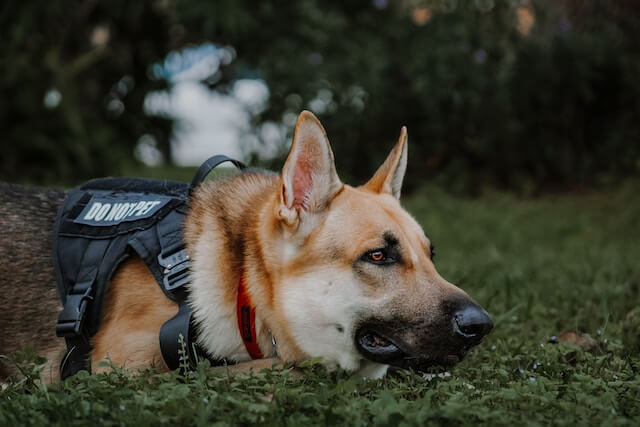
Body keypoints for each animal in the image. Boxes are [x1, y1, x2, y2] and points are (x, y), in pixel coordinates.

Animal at [0, 111, 496, 384]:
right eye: (378, 256)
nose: (482, 325)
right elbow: (269, 368)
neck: (242, 282)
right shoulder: (114, 367)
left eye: (431, 255)